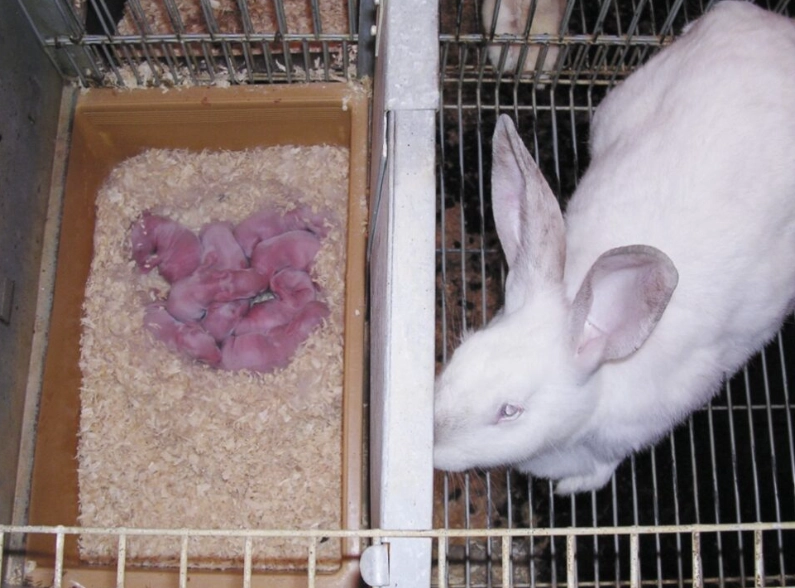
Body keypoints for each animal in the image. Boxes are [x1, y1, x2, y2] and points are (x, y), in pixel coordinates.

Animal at [434, 1, 795, 494]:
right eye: (460, 352)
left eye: (509, 411)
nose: (429, 440)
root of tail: (769, 23)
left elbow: (605, 464)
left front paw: (571, 486)